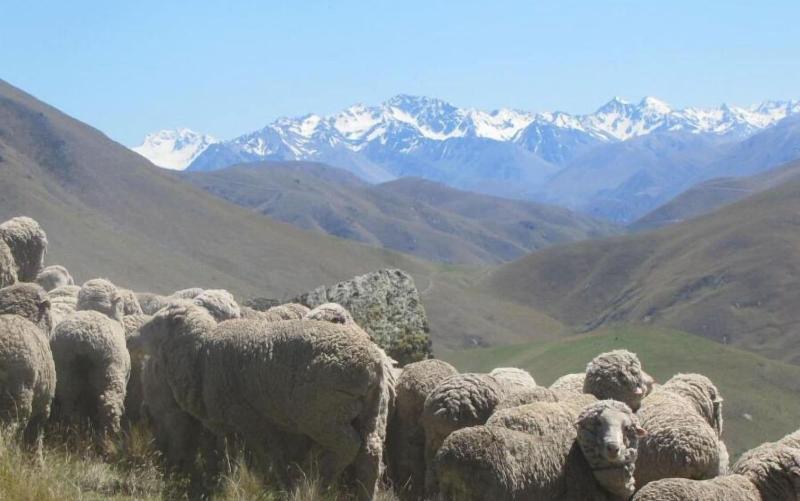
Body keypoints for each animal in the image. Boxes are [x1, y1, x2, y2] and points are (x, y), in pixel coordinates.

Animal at [50, 310, 130, 447]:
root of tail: (83, 340)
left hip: (66, 374)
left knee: (70, 406)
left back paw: (72, 432)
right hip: (110, 372)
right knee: (109, 406)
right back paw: (109, 439)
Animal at [139, 303, 394, 499]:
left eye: (157, 324)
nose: (134, 336)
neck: (200, 353)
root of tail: (373, 364)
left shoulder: (248, 418)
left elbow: (264, 453)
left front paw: (274, 480)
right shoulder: (234, 424)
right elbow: (232, 453)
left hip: (323, 414)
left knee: (348, 445)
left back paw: (319, 479)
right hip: (373, 411)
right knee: (370, 453)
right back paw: (364, 492)